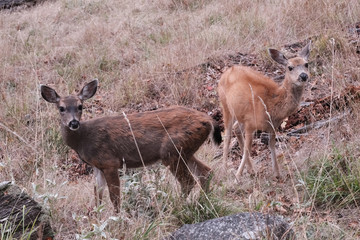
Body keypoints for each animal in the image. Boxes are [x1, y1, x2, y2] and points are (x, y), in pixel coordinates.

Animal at [41, 80, 222, 212]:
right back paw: (204, 201)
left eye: (80, 106)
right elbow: (97, 195)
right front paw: (97, 218)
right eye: (61, 108)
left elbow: (114, 197)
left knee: (188, 181)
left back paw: (178, 206)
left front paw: (117, 218)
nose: (73, 123)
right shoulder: (97, 166)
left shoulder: (110, 162)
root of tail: (209, 120)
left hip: (172, 151)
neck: (83, 139)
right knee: (205, 172)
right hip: (185, 151)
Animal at [218, 41, 310, 180]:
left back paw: (251, 170)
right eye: (290, 67)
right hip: (226, 106)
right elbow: (247, 149)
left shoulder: (272, 126)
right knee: (227, 136)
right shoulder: (251, 123)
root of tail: (225, 72)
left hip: (241, 115)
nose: (303, 76)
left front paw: (277, 174)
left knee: (236, 129)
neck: (272, 104)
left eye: (306, 64)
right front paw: (237, 176)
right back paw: (224, 169)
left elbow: (272, 146)